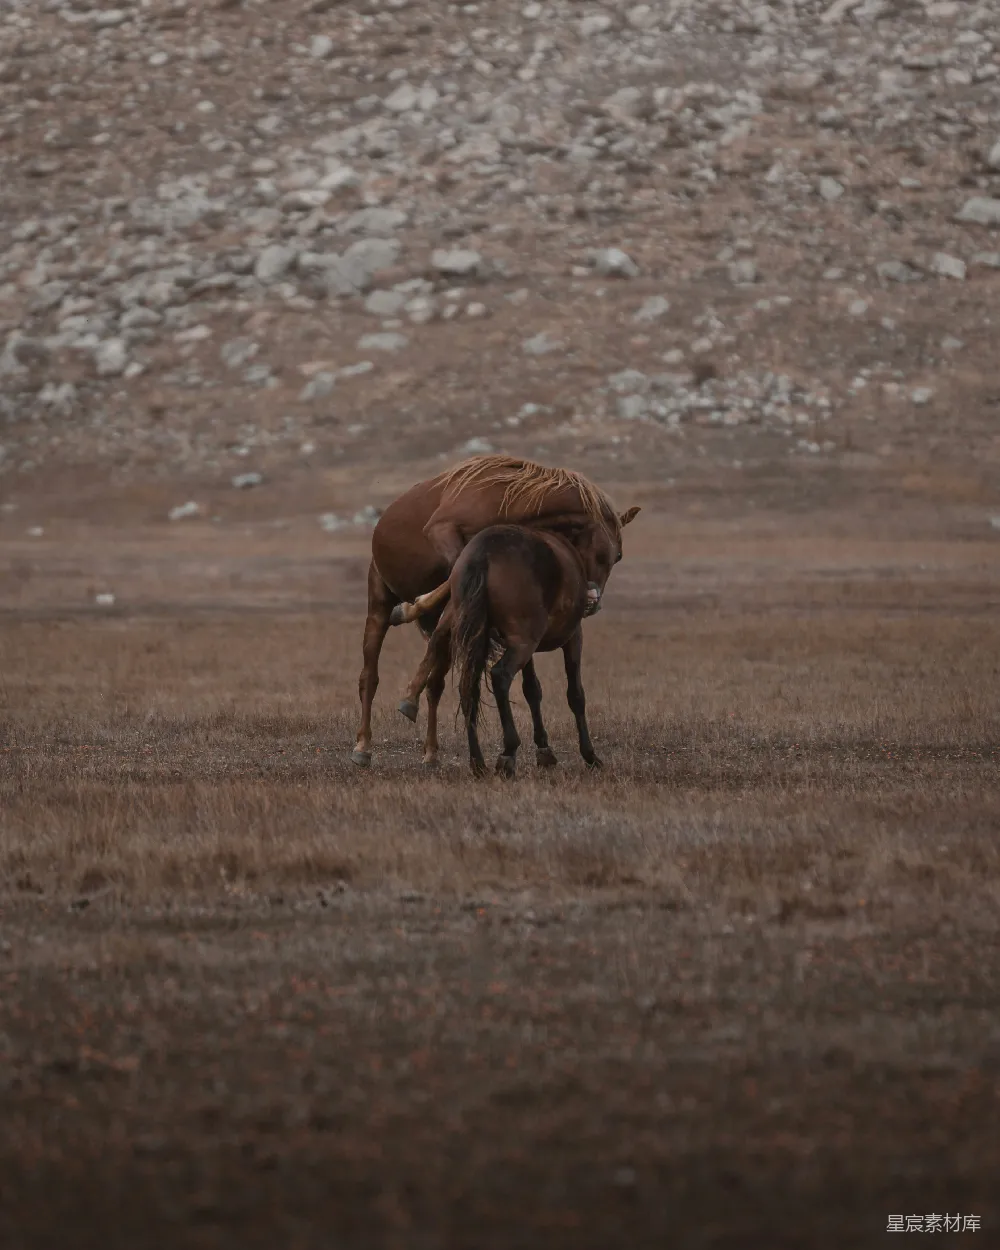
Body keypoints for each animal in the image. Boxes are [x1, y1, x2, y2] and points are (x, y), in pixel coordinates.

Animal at [395, 513, 633, 777]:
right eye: (612, 555)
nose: (593, 600)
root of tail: (482, 555)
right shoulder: (571, 637)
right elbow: (575, 694)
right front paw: (589, 755)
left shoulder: (523, 645)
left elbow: (532, 690)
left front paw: (544, 750)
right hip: (522, 645)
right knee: (500, 676)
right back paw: (507, 752)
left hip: (491, 640)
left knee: (468, 688)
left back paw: (477, 762)